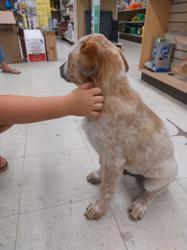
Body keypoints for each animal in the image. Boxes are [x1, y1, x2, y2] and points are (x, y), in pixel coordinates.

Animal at [59, 33, 177, 221]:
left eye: (69, 56)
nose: (59, 68)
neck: (108, 95)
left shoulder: (113, 160)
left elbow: (107, 190)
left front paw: (99, 208)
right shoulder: (104, 154)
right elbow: (101, 167)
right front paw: (98, 175)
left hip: (161, 176)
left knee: (155, 191)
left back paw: (140, 204)